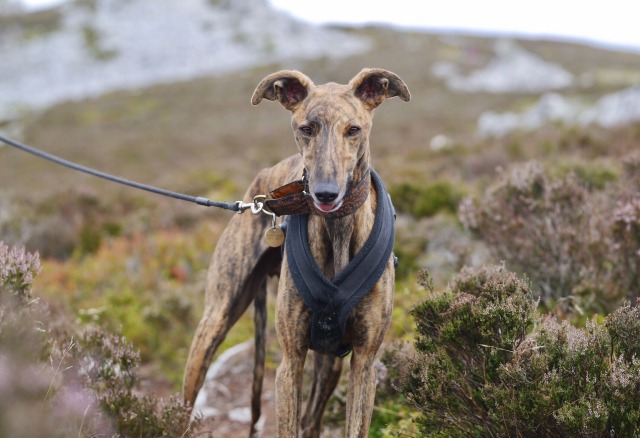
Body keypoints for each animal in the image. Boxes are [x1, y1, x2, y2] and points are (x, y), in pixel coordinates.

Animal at [184, 68, 410, 438]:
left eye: (354, 130)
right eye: (306, 129)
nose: (326, 194)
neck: (337, 228)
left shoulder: (364, 364)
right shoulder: (291, 364)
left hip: (330, 364)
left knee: (313, 420)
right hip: (214, 321)